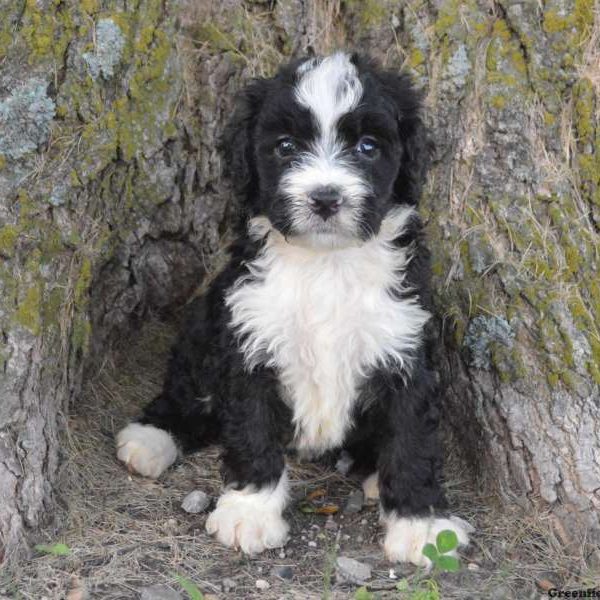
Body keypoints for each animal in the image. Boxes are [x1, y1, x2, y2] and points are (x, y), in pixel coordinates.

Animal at [115, 52, 472, 568]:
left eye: (367, 146)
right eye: (284, 147)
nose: (325, 198)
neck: (325, 264)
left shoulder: (404, 345)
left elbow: (412, 439)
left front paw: (421, 523)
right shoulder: (249, 339)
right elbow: (252, 429)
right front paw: (250, 511)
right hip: (206, 322)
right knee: (188, 394)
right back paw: (151, 437)